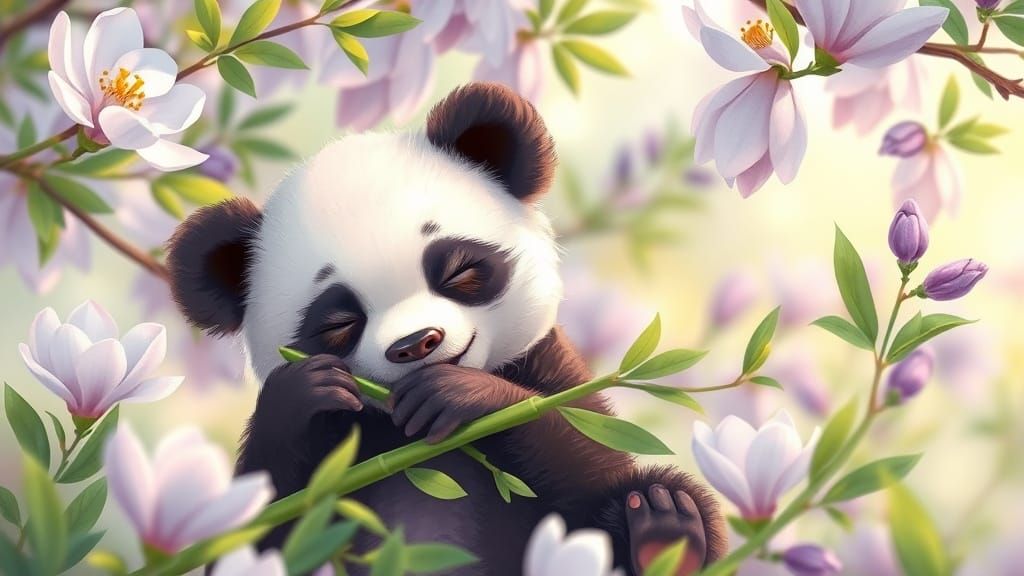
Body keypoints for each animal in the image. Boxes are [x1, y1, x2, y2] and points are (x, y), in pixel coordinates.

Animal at [166, 83, 726, 575]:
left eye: (457, 271)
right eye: (341, 320)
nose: (417, 344)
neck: (407, 432)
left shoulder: (550, 366)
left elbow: (586, 459)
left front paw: (460, 394)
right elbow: (259, 531)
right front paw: (306, 390)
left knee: (644, 500)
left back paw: (664, 531)